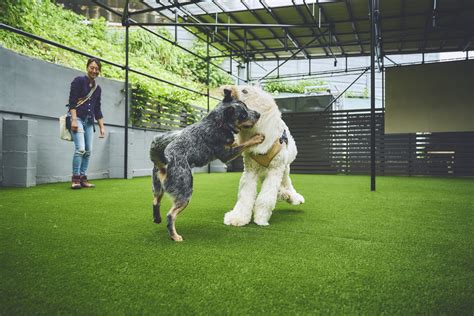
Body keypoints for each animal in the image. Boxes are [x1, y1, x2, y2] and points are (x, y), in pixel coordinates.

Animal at [222, 85, 304, 226]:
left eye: (244, 91)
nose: (226, 90)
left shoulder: (275, 170)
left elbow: (266, 197)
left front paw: (261, 218)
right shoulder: (250, 171)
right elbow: (245, 196)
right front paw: (238, 218)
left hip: (284, 169)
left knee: (287, 183)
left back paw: (293, 197)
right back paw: (284, 194)